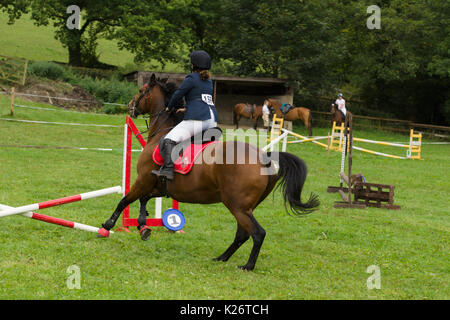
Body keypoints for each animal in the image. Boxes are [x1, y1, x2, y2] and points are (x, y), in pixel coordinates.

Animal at [99, 74, 320, 270]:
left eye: (141, 91)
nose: (130, 107)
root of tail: (263, 157)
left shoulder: (143, 180)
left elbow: (125, 200)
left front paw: (108, 225)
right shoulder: (157, 186)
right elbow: (143, 200)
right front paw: (143, 226)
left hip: (237, 205)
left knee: (257, 233)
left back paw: (247, 265)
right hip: (245, 207)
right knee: (242, 234)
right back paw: (222, 257)